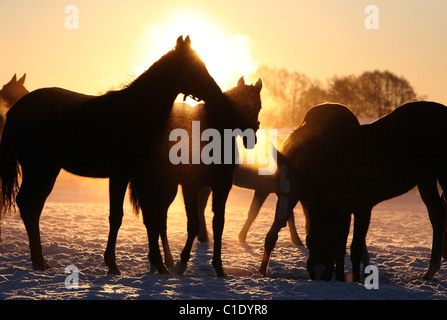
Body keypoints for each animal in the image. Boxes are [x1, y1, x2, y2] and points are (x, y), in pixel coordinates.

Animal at [0, 35, 224, 272]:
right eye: (192, 66)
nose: (217, 96)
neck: (135, 112)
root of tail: (14, 110)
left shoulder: (133, 177)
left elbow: (141, 218)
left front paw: (143, 265)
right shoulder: (126, 175)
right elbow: (129, 217)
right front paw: (124, 265)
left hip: (48, 171)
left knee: (33, 206)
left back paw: (41, 261)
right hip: (38, 170)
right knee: (27, 204)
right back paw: (39, 262)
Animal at [123, 76, 262, 276]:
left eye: (258, 106)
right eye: (239, 104)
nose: (250, 138)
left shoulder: (222, 187)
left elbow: (218, 224)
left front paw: (219, 268)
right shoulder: (191, 187)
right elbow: (194, 224)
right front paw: (182, 263)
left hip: (169, 187)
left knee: (160, 219)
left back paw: (164, 261)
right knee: (155, 220)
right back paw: (161, 261)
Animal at [264, 101, 447, 282]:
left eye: (327, 271)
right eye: (311, 270)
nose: (321, 275)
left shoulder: (363, 209)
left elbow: (355, 248)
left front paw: (356, 279)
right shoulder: (343, 210)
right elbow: (341, 246)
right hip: (426, 180)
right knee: (437, 214)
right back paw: (431, 270)